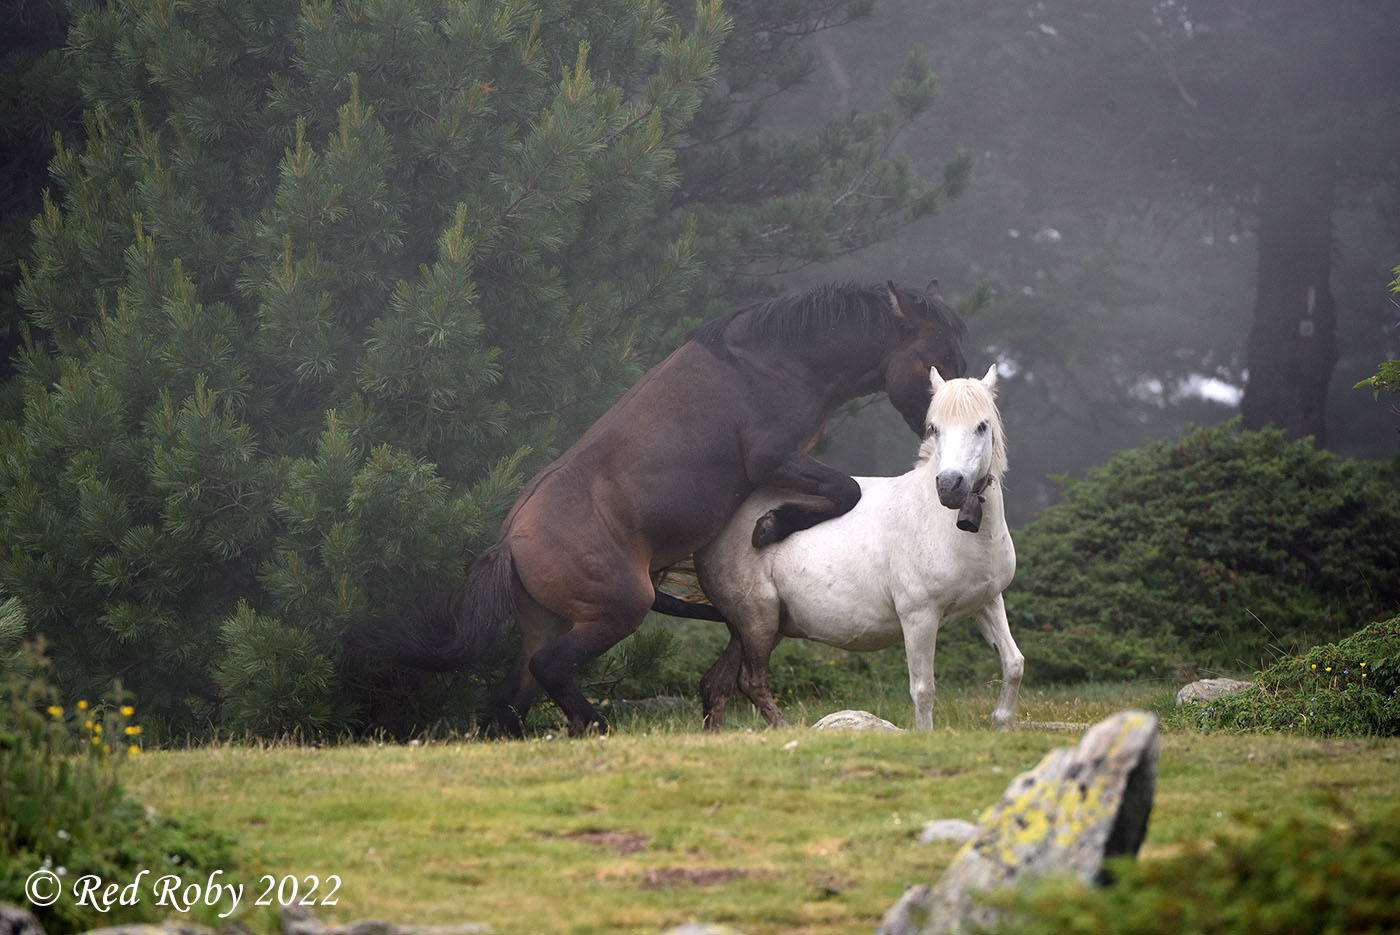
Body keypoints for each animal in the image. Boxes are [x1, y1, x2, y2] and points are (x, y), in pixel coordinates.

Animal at [414, 281, 963, 733]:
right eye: (936, 360)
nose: (944, 429)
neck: (775, 362)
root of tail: (509, 543)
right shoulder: (773, 459)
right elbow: (846, 490)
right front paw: (769, 528)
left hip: (545, 622)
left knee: (513, 697)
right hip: (618, 610)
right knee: (549, 668)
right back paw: (595, 726)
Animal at [694, 363, 1024, 727]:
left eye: (982, 425)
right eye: (934, 428)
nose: (950, 486)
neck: (951, 531)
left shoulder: (987, 602)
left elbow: (1013, 664)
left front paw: (1001, 722)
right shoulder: (919, 617)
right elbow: (923, 689)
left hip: (758, 626)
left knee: (717, 684)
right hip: (757, 621)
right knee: (751, 681)